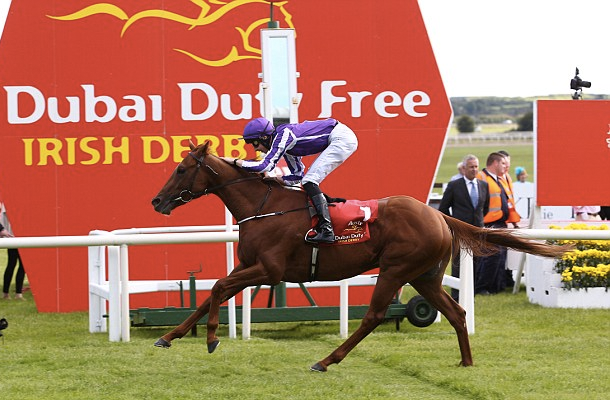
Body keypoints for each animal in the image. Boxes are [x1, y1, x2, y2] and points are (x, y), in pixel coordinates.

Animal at [150, 141, 568, 372]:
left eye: (182, 169)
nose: (157, 201)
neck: (263, 207)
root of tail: (438, 214)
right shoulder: (248, 265)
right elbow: (210, 293)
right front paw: (169, 336)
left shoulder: (268, 270)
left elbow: (219, 287)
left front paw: (211, 339)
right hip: (424, 277)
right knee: (456, 312)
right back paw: (466, 362)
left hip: (396, 269)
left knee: (373, 316)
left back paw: (326, 360)